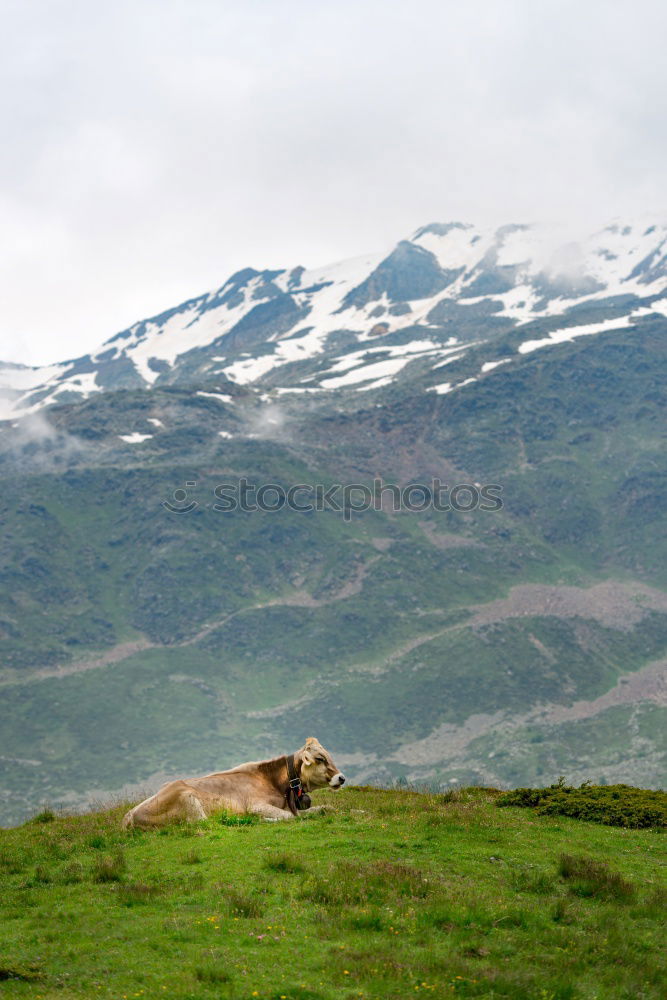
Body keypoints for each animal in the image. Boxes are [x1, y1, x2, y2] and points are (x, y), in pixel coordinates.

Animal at [120, 736, 348, 828]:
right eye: (320, 758)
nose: (342, 777)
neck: (274, 782)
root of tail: (129, 816)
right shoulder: (256, 805)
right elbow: (290, 818)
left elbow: (325, 809)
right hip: (188, 798)